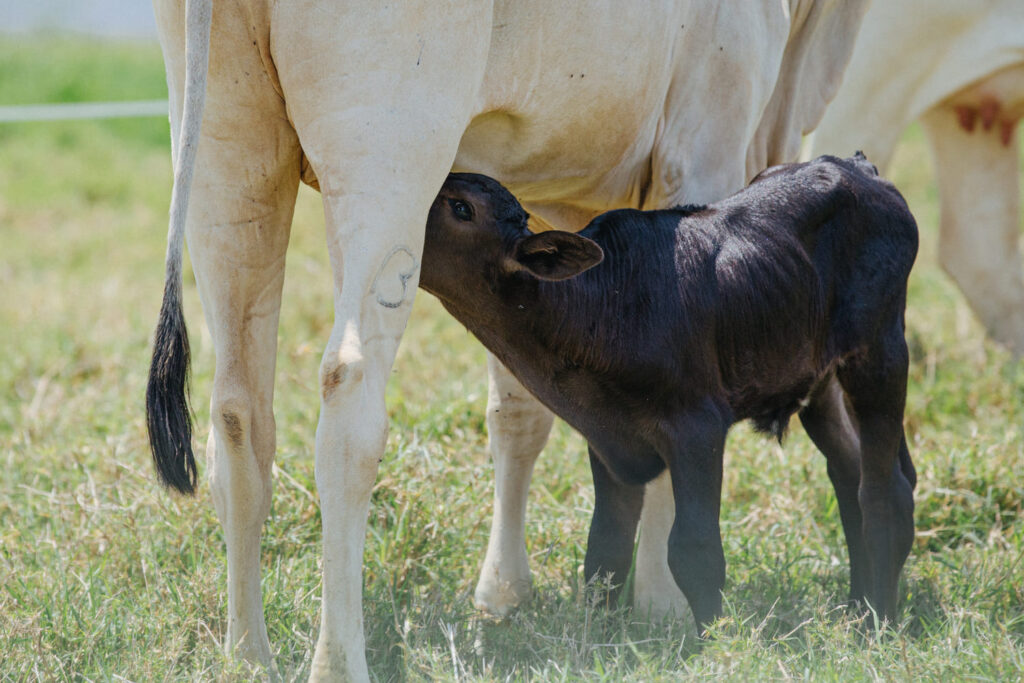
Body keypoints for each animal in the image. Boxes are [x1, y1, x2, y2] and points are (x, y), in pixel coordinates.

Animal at [148, 2, 868, 679]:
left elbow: (520, 404)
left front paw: (504, 593)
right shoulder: (706, 141)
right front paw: (665, 605)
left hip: (227, 160)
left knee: (238, 412)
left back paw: (248, 655)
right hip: (386, 155)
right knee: (348, 399)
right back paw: (338, 663)